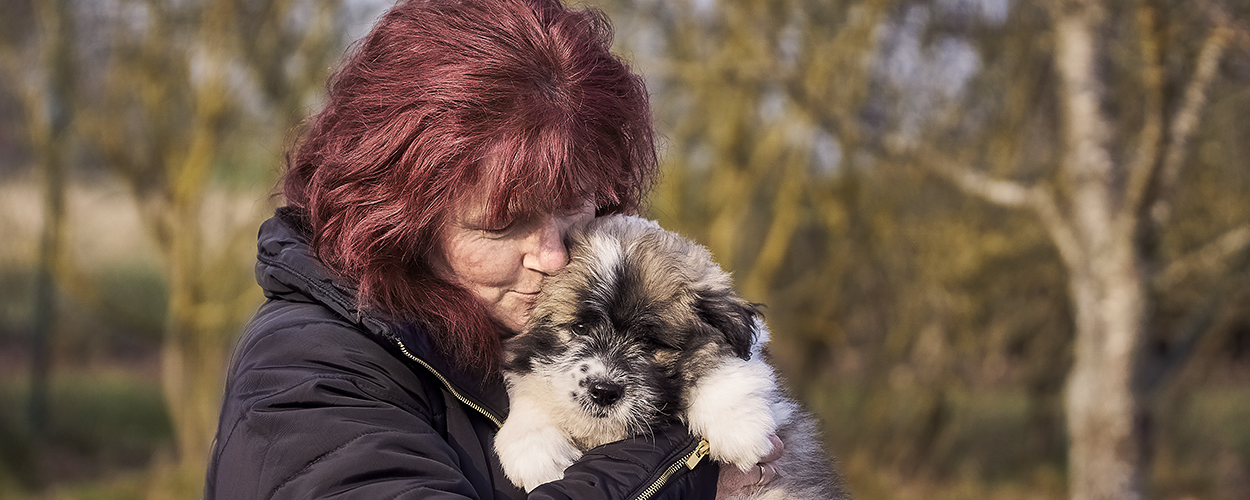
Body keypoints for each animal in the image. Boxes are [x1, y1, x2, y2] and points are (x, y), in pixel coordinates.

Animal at [495, 215, 850, 500]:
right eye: (579, 328)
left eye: (651, 342)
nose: (604, 392)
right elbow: (529, 392)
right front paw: (538, 451)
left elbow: (726, 369)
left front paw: (739, 429)